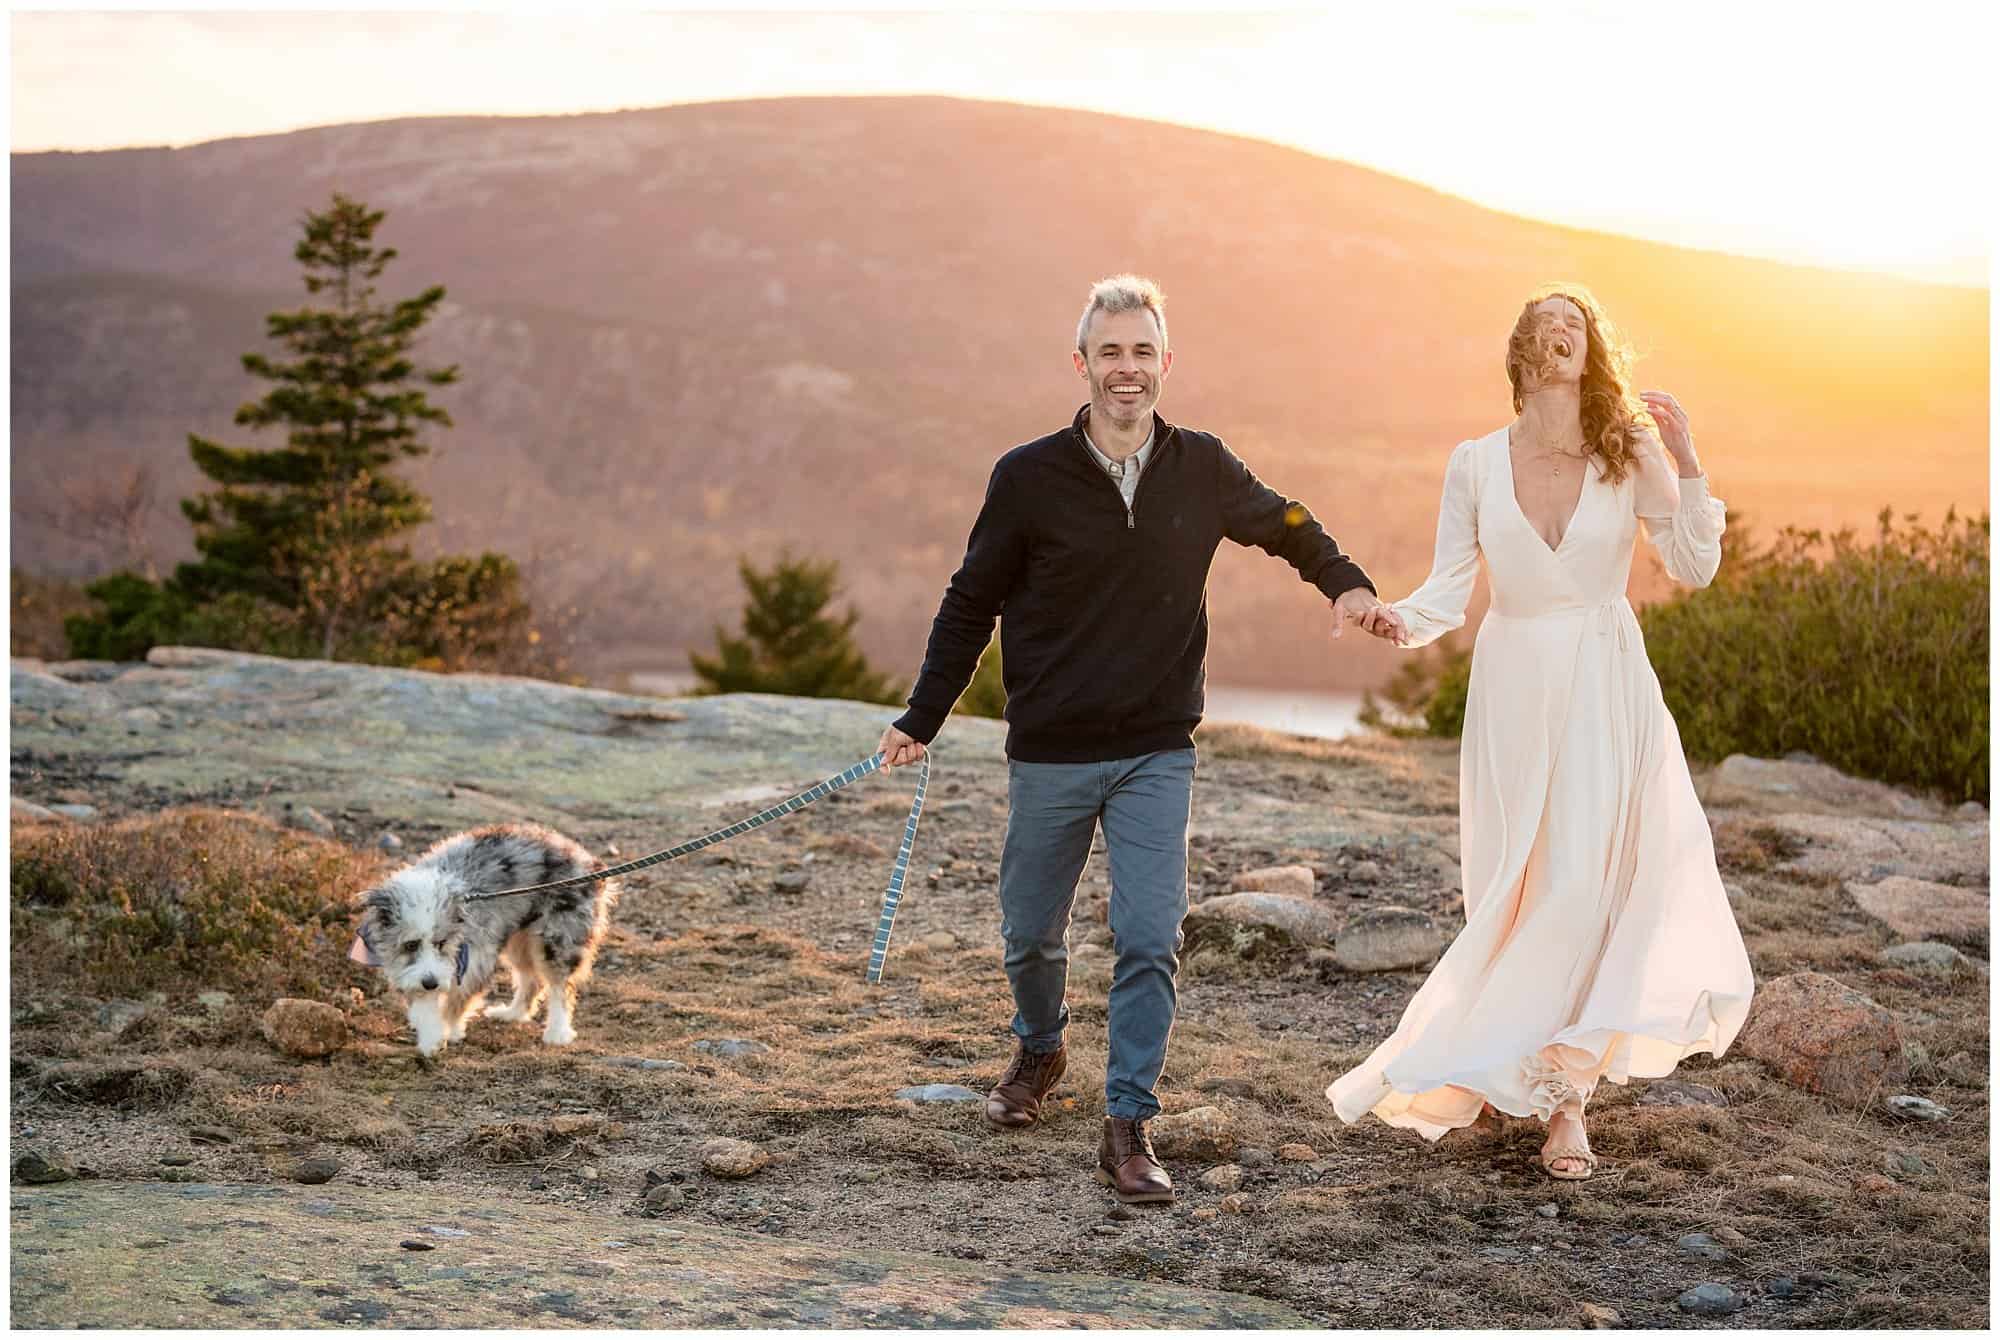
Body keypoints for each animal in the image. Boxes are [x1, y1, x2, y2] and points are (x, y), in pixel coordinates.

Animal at [352, 820, 616, 1064]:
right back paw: (512, 1014)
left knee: (560, 986)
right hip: (520, 941)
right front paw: (430, 1038)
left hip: (559, 938)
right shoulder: (412, 971)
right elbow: (424, 1001)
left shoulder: (475, 958)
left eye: (441, 942)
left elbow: (456, 1001)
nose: (431, 983)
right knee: (531, 979)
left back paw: (557, 1031)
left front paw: (447, 1030)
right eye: (410, 945)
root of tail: (588, 860)